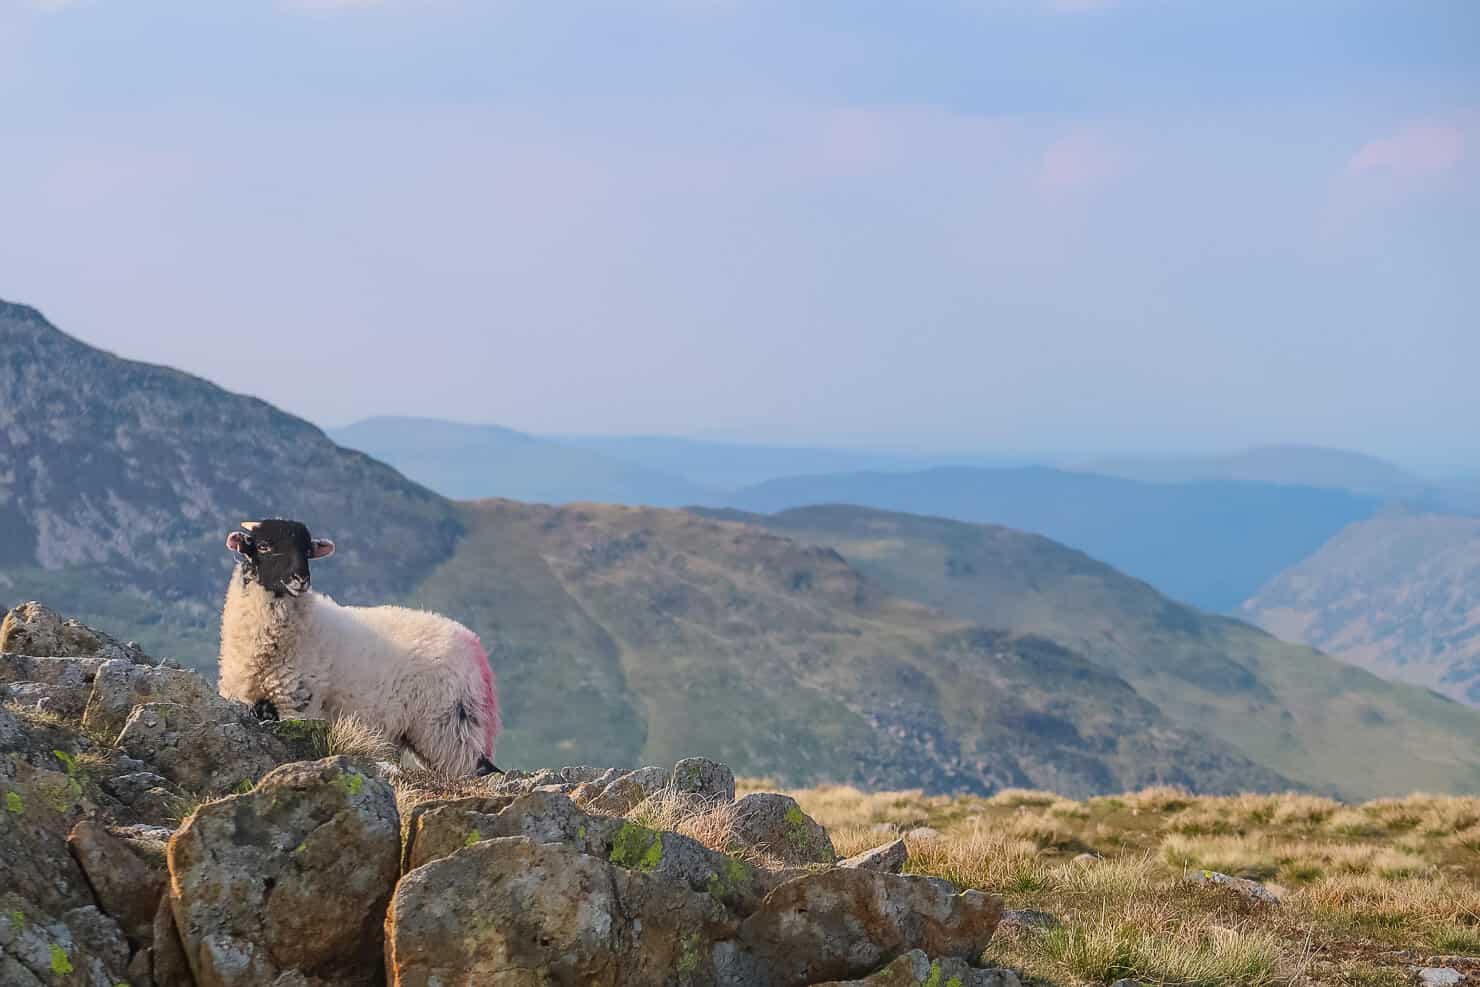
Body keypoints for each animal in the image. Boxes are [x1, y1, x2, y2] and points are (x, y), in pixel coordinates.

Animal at [216, 517, 503, 781]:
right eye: (263, 546)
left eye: (307, 551)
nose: (301, 579)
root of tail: (475, 647)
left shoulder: (297, 705)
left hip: (449, 725)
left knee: (479, 770)